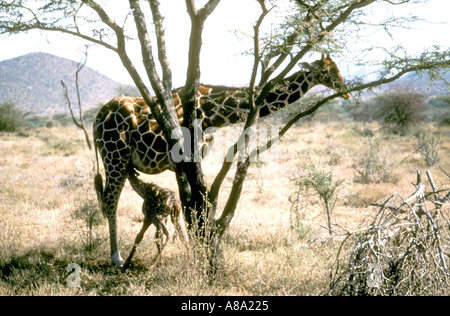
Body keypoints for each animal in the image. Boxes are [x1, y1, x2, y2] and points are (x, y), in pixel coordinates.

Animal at [93, 55, 350, 266]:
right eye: (327, 70)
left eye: (337, 67)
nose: (346, 91)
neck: (212, 112)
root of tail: (97, 118)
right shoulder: (182, 158)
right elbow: (189, 205)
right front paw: (196, 256)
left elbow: (190, 207)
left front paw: (194, 254)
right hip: (114, 156)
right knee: (110, 202)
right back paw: (116, 258)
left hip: (119, 160)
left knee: (106, 199)